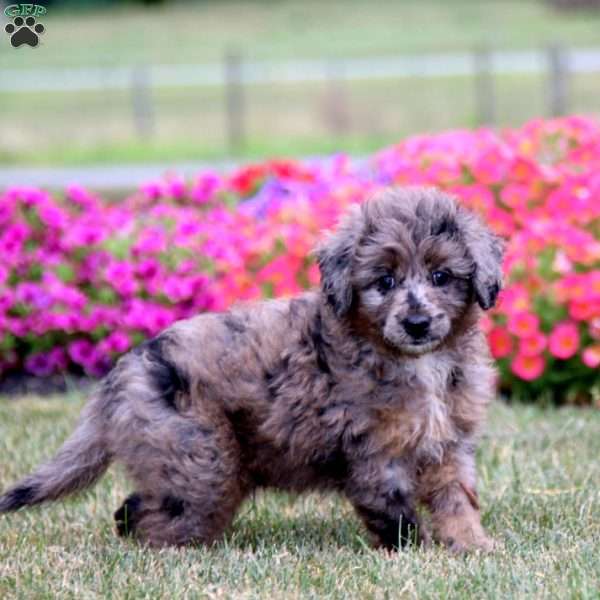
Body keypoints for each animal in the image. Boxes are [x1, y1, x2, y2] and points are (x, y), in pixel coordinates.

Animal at [0, 188, 504, 552]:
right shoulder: (375, 455)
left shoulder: (448, 444)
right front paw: (417, 553)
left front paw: (472, 545)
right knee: (154, 518)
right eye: (384, 281)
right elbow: (396, 514)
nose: (417, 323)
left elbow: (457, 499)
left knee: (134, 507)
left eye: (441, 277)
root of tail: (119, 377)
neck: (417, 362)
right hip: (202, 461)